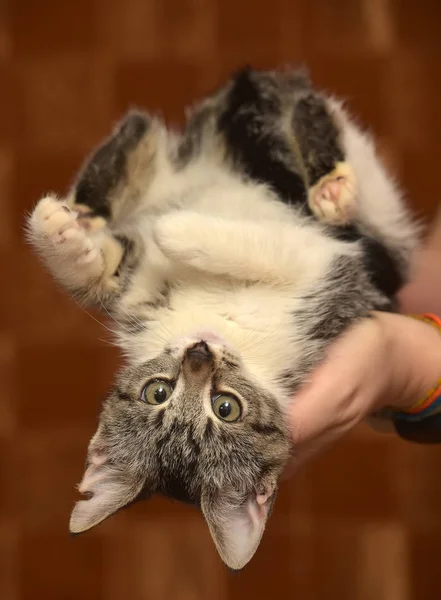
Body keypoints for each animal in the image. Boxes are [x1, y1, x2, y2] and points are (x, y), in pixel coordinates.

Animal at [25, 68, 418, 568]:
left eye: (226, 408)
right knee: (142, 134)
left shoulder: (326, 269)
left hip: (371, 219)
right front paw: (71, 235)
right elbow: (105, 272)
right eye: (158, 392)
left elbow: (249, 248)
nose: (199, 353)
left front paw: (168, 229)